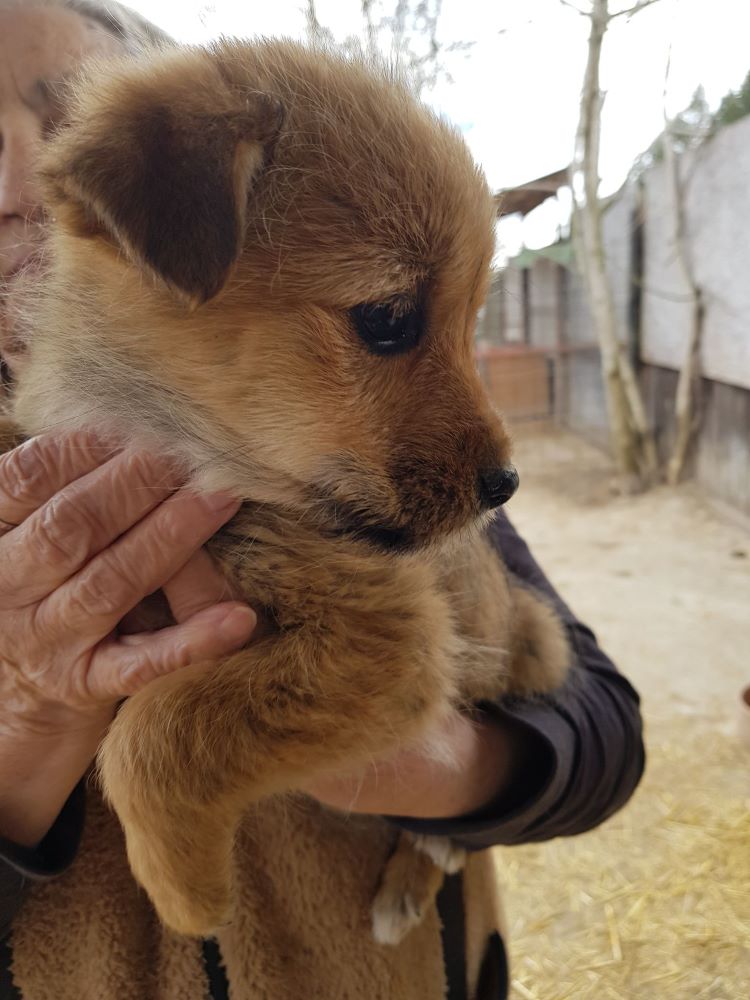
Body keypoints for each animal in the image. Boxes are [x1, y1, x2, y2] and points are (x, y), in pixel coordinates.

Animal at [10, 39, 568, 940]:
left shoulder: (389, 637)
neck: (188, 447)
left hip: (527, 641)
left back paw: (418, 867)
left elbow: (158, 729)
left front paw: (187, 889)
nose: (505, 486)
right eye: (389, 319)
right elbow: (157, 720)